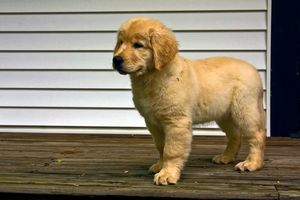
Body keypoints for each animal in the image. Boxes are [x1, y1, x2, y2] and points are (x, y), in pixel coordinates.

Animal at [112, 17, 264, 186]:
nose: (116, 59)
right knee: (235, 135)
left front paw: (167, 174)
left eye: (138, 45)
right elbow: (161, 146)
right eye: (120, 42)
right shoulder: (152, 122)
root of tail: (253, 69)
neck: (151, 78)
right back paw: (226, 157)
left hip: (245, 110)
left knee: (257, 135)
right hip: (224, 115)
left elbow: (171, 150)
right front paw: (160, 165)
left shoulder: (176, 121)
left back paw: (251, 163)